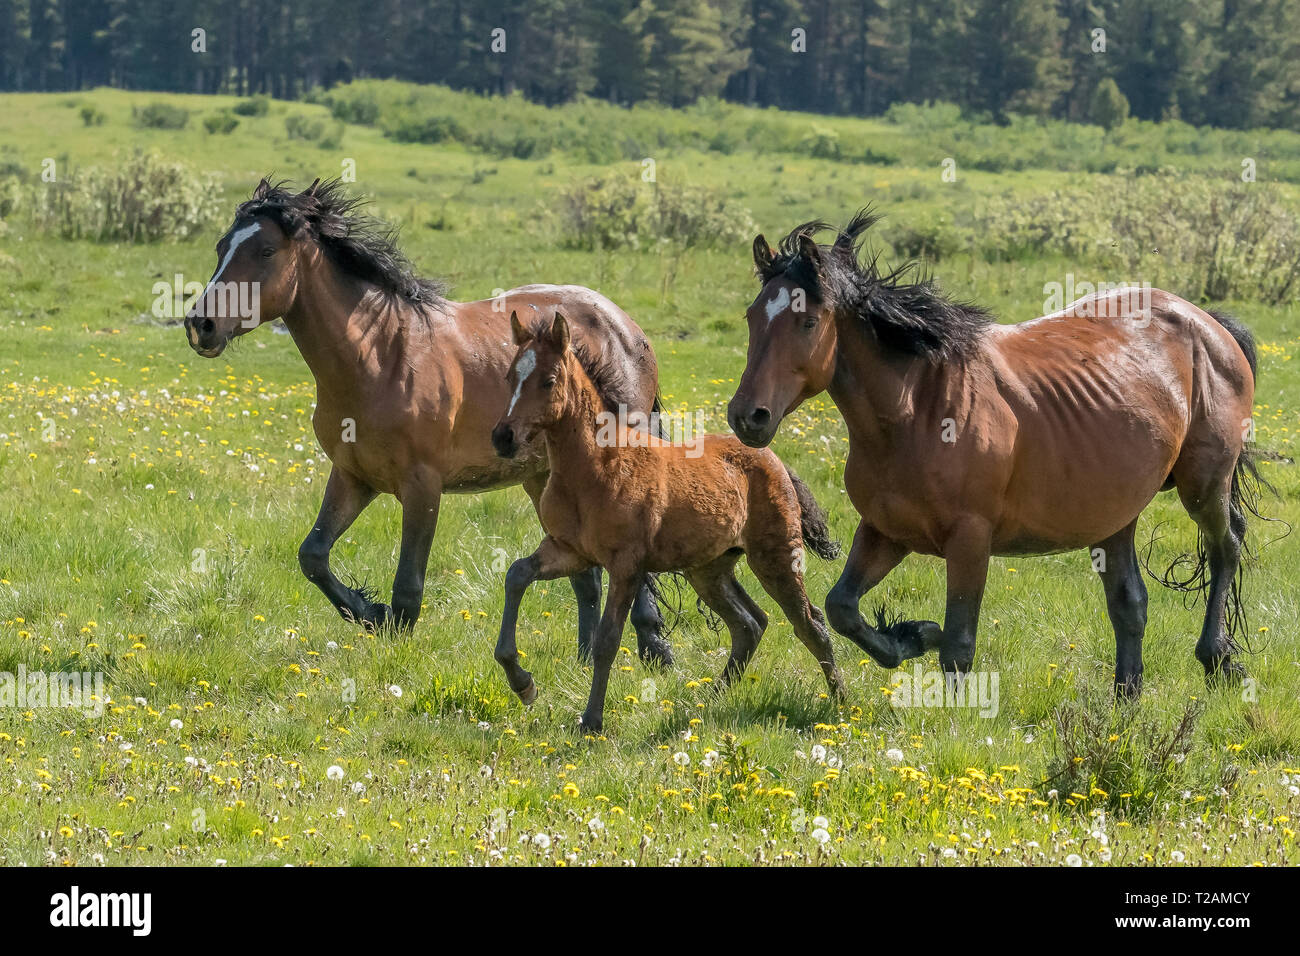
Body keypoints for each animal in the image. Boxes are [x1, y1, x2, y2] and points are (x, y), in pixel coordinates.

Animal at [184, 175, 676, 660]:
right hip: (543, 478)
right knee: (585, 576)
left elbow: (407, 587)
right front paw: (369, 611)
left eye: (266, 250)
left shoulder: (422, 486)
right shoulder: (352, 477)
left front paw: (390, 638)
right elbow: (313, 556)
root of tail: (626, 327)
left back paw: (654, 649)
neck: (381, 357)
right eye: (221, 246)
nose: (200, 324)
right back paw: (585, 658)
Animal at [491, 314, 847, 733]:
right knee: (751, 623)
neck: (596, 466)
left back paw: (842, 705)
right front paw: (522, 682)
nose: (503, 437)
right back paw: (708, 698)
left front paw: (591, 720)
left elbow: (608, 638)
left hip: (774, 557)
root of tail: (775, 462)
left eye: (548, 381)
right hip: (708, 569)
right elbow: (516, 574)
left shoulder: (626, 565)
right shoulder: (568, 550)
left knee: (810, 623)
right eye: (510, 376)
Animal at [733, 210, 1268, 697]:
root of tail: (1207, 324)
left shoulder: (970, 539)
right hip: (1117, 515)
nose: (747, 417)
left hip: (1203, 487)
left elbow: (958, 645)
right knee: (1129, 601)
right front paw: (912, 635)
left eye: (807, 321)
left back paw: (1219, 657)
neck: (918, 409)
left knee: (1226, 547)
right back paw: (1126, 697)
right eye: (752, 317)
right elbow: (843, 607)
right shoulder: (887, 531)